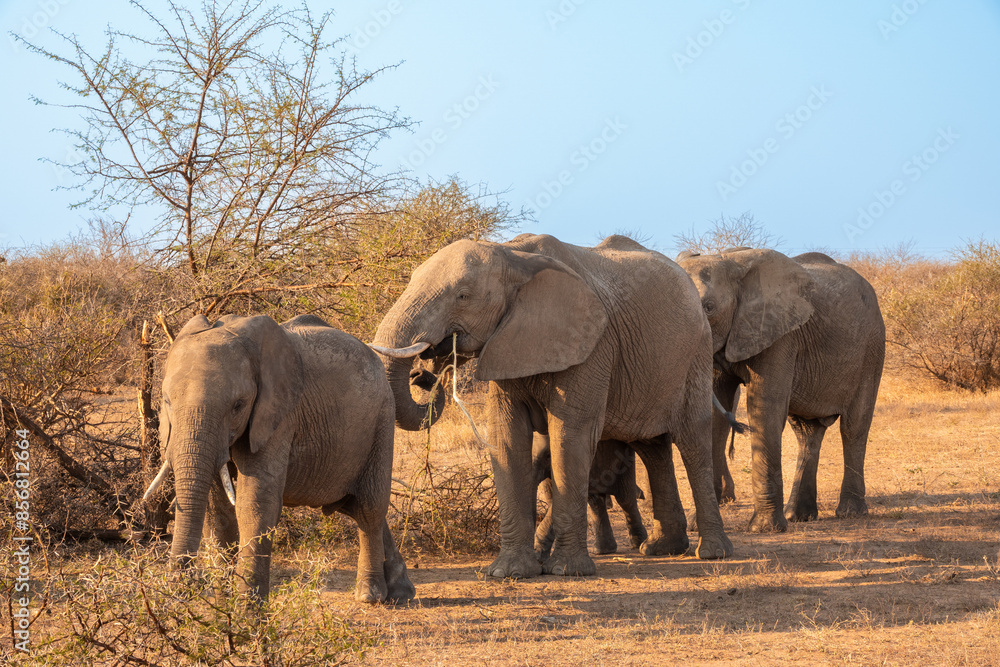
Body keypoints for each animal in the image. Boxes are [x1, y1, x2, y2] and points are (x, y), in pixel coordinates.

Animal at [142, 314, 415, 603]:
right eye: (166, 401)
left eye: (238, 405)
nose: (183, 588)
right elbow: (217, 509)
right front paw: (222, 602)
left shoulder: (279, 416)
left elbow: (254, 503)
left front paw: (245, 605)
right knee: (350, 504)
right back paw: (401, 592)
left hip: (382, 418)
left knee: (369, 507)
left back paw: (370, 595)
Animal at [370, 233, 733, 578]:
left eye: (462, 296)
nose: (422, 374)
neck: (513, 254)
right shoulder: (506, 341)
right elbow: (506, 439)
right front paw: (508, 572)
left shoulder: (591, 345)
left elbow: (569, 438)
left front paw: (567, 570)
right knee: (651, 445)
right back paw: (662, 548)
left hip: (697, 352)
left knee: (692, 440)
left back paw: (713, 552)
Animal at [676, 248, 885, 533]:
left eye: (709, 308)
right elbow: (713, 414)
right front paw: (697, 526)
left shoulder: (779, 334)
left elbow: (765, 408)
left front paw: (763, 529)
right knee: (806, 432)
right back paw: (798, 515)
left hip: (871, 349)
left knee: (854, 427)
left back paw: (850, 513)